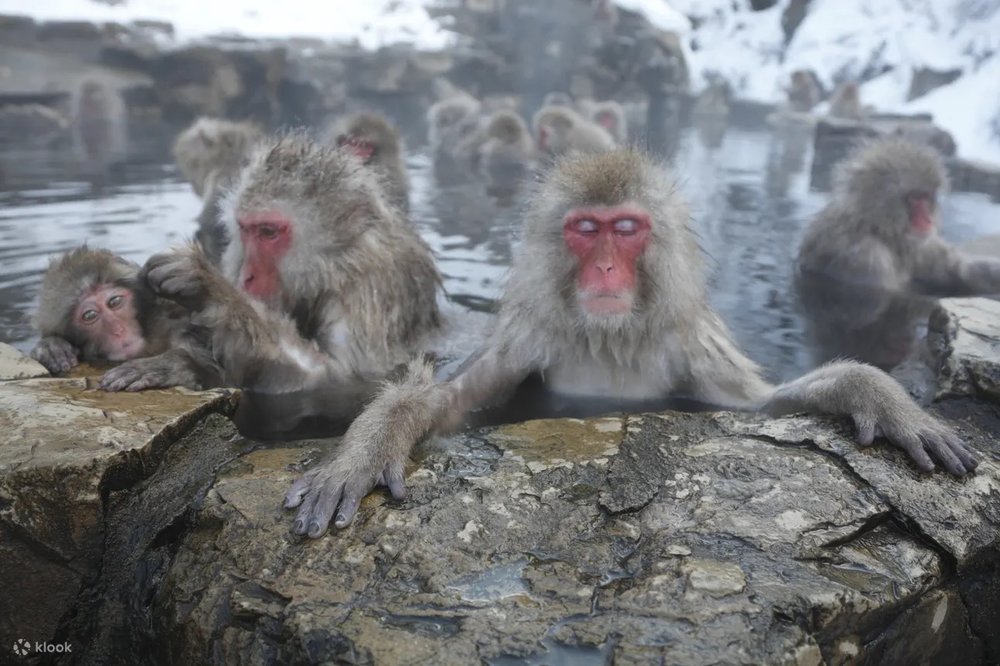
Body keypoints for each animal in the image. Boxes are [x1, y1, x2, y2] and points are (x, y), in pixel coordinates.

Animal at [134, 133, 442, 406]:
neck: (334, 265)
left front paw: (209, 287)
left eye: (269, 232)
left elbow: (335, 377)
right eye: (246, 229)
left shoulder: (369, 291)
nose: (246, 276)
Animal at [284, 148, 977, 538]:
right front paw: (364, 451)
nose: (606, 269)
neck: (610, 338)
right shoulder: (530, 338)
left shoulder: (691, 345)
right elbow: (447, 403)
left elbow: (759, 406)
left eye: (625, 229)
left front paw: (877, 395)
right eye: (586, 230)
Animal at [797, 137, 1000, 295]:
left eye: (925, 196)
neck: (879, 231)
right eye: (913, 198)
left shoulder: (921, 245)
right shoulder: (867, 257)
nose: (928, 220)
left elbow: (958, 271)